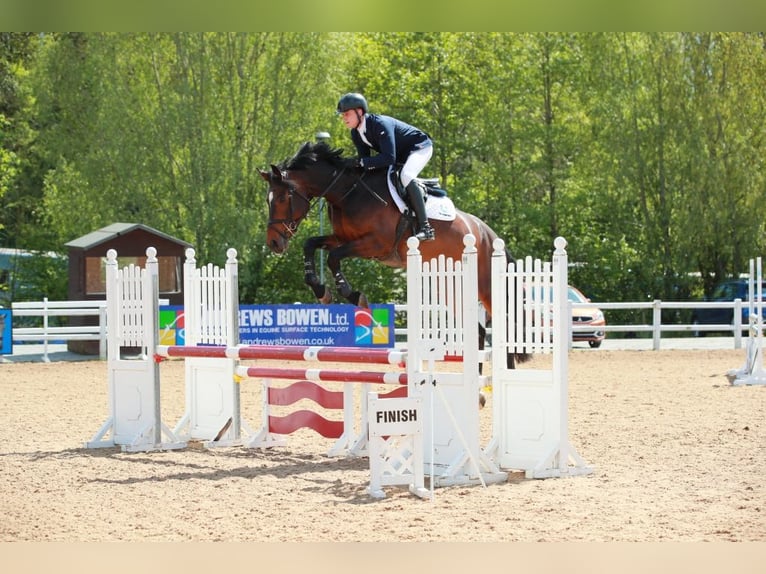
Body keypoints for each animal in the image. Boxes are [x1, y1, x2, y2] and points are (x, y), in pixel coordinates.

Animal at [260, 142, 532, 372]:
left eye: (282, 198)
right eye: (268, 200)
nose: (273, 243)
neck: (346, 191)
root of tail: (488, 233)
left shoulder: (375, 244)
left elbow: (333, 258)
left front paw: (353, 295)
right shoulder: (341, 238)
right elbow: (311, 245)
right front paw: (320, 290)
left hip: (485, 286)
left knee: (505, 322)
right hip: (451, 286)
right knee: (478, 331)